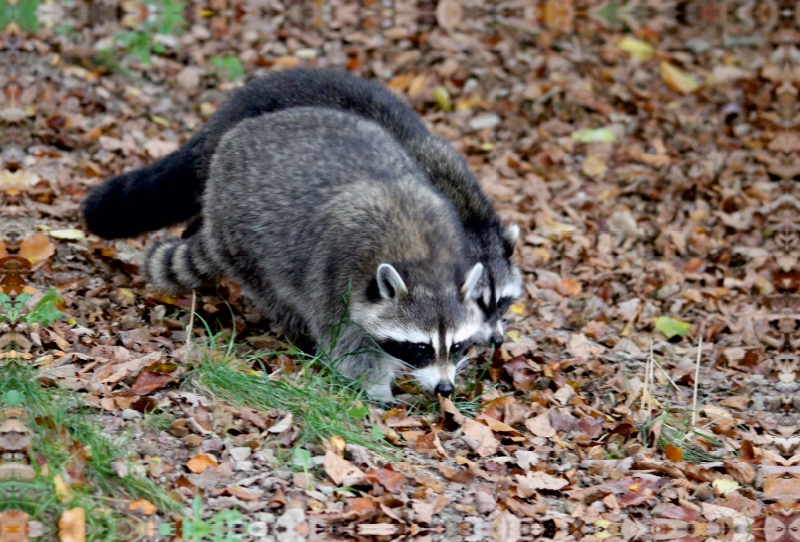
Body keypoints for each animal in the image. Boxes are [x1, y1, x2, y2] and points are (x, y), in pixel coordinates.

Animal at [143, 107, 484, 404]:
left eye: (457, 346)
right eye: (421, 348)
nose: (445, 388)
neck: (422, 259)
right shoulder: (337, 273)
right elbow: (346, 342)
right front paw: (375, 387)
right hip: (242, 232)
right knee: (275, 293)